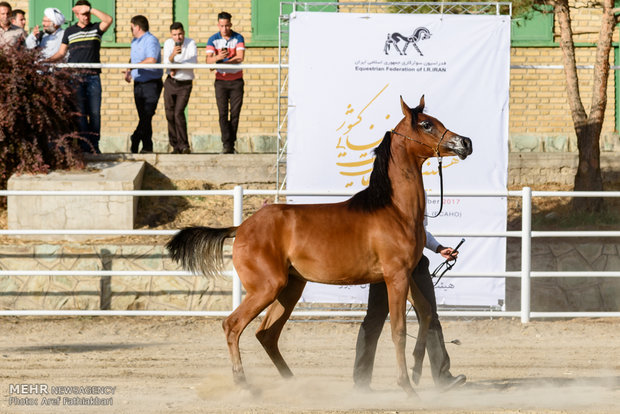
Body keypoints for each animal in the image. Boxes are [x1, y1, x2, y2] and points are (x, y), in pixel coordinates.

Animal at [167, 94, 472, 394]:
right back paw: (244, 384)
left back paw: (294, 384)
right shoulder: (395, 276)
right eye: (426, 124)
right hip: (267, 288)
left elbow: (426, 314)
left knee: (266, 333)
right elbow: (398, 330)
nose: (465, 143)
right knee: (232, 325)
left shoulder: (404, 275)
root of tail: (241, 228)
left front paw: (418, 371)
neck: (394, 209)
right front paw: (407, 387)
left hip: (289, 288)